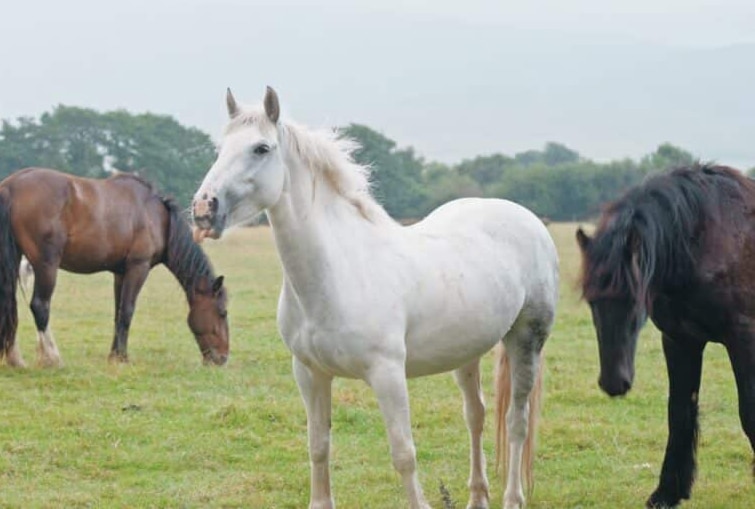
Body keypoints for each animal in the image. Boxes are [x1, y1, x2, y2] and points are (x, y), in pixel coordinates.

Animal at [0, 169, 230, 368]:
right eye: (222, 312)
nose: (223, 358)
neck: (156, 216)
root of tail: (10, 186)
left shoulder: (120, 273)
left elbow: (118, 312)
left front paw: (114, 355)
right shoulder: (138, 267)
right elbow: (127, 311)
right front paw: (122, 358)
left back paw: (14, 358)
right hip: (46, 265)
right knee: (40, 306)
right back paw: (52, 358)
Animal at [192, 88, 560, 508]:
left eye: (261, 148)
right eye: (220, 148)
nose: (203, 209)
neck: (338, 272)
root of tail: (527, 219)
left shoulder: (387, 374)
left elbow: (403, 454)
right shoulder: (309, 372)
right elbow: (318, 445)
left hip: (526, 340)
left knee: (516, 421)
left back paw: (512, 497)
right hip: (467, 352)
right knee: (476, 415)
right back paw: (477, 497)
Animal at [576, 165, 752, 506]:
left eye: (633, 300)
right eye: (592, 301)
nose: (613, 383)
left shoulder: (743, 339)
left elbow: (748, 413)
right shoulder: (680, 340)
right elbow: (679, 413)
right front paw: (668, 492)